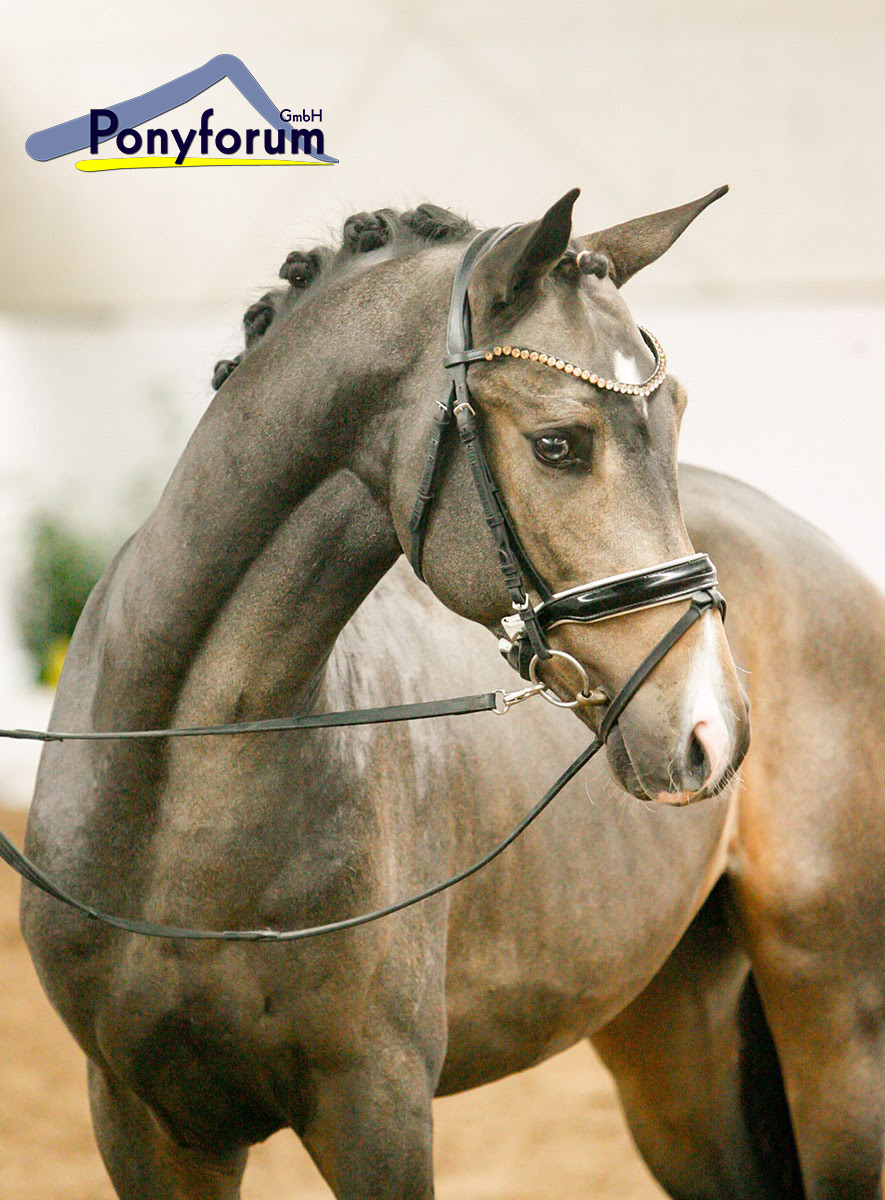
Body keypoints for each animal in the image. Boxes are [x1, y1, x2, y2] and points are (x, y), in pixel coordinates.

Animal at [20, 190, 884, 1200]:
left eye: (674, 413)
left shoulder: (375, 1108)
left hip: (834, 1016)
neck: (183, 799)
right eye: (557, 444)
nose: (710, 730)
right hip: (671, 1039)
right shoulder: (143, 1122)